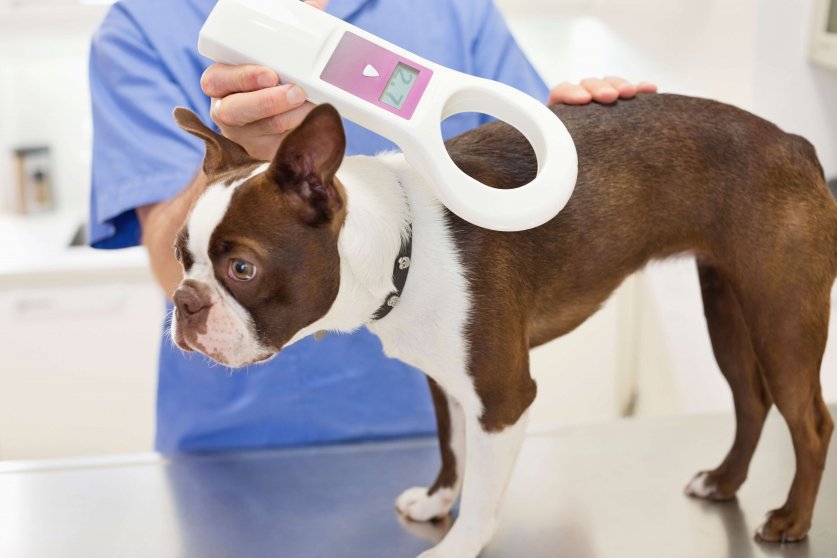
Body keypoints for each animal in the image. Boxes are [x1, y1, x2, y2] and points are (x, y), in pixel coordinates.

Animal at [167, 96, 832, 558]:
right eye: (180, 256)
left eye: (243, 268)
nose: (184, 301)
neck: (404, 246)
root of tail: (795, 142)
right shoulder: (447, 381)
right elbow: (452, 447)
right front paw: (437, 501)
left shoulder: (503, 397)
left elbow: (485, 491)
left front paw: (458, 546)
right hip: (727, 307)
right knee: (751, 400)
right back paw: (723, 481)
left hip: (781, 316)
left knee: (810, 422)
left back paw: (791, 521)